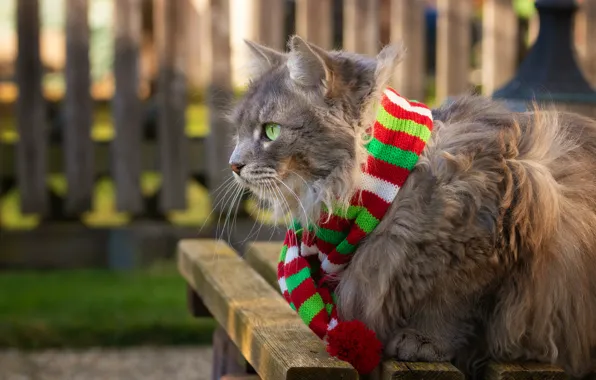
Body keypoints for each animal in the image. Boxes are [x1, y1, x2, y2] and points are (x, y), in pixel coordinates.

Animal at [227, 35, 596, 378]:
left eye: (270, 131)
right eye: (239, 132)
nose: (234, 164)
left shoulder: (504, 226)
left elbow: (451, 306)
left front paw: (423, 340)